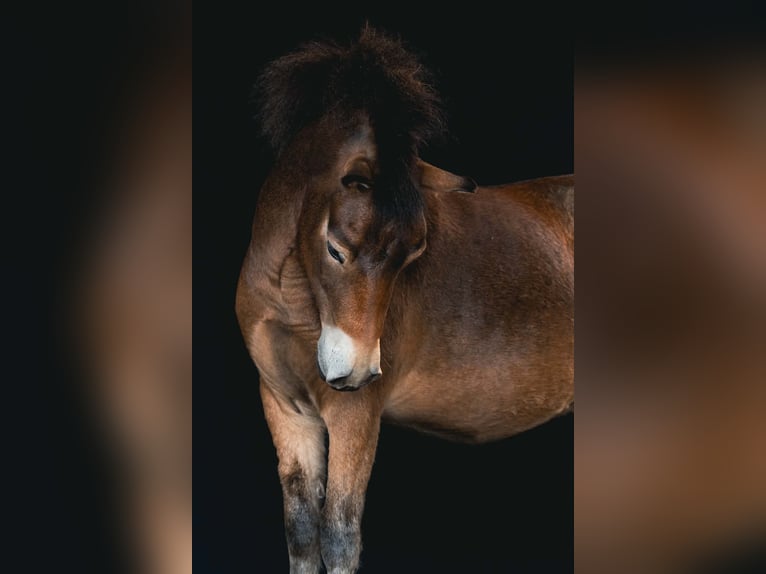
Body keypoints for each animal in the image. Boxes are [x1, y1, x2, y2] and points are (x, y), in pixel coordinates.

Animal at [236, 28, 573, 573]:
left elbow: (339, 535)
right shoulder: (285, 407)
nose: (354, 372)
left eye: (413, 253)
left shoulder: (353, 415)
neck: (292, 301)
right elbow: (303, 533)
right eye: (335, 248)